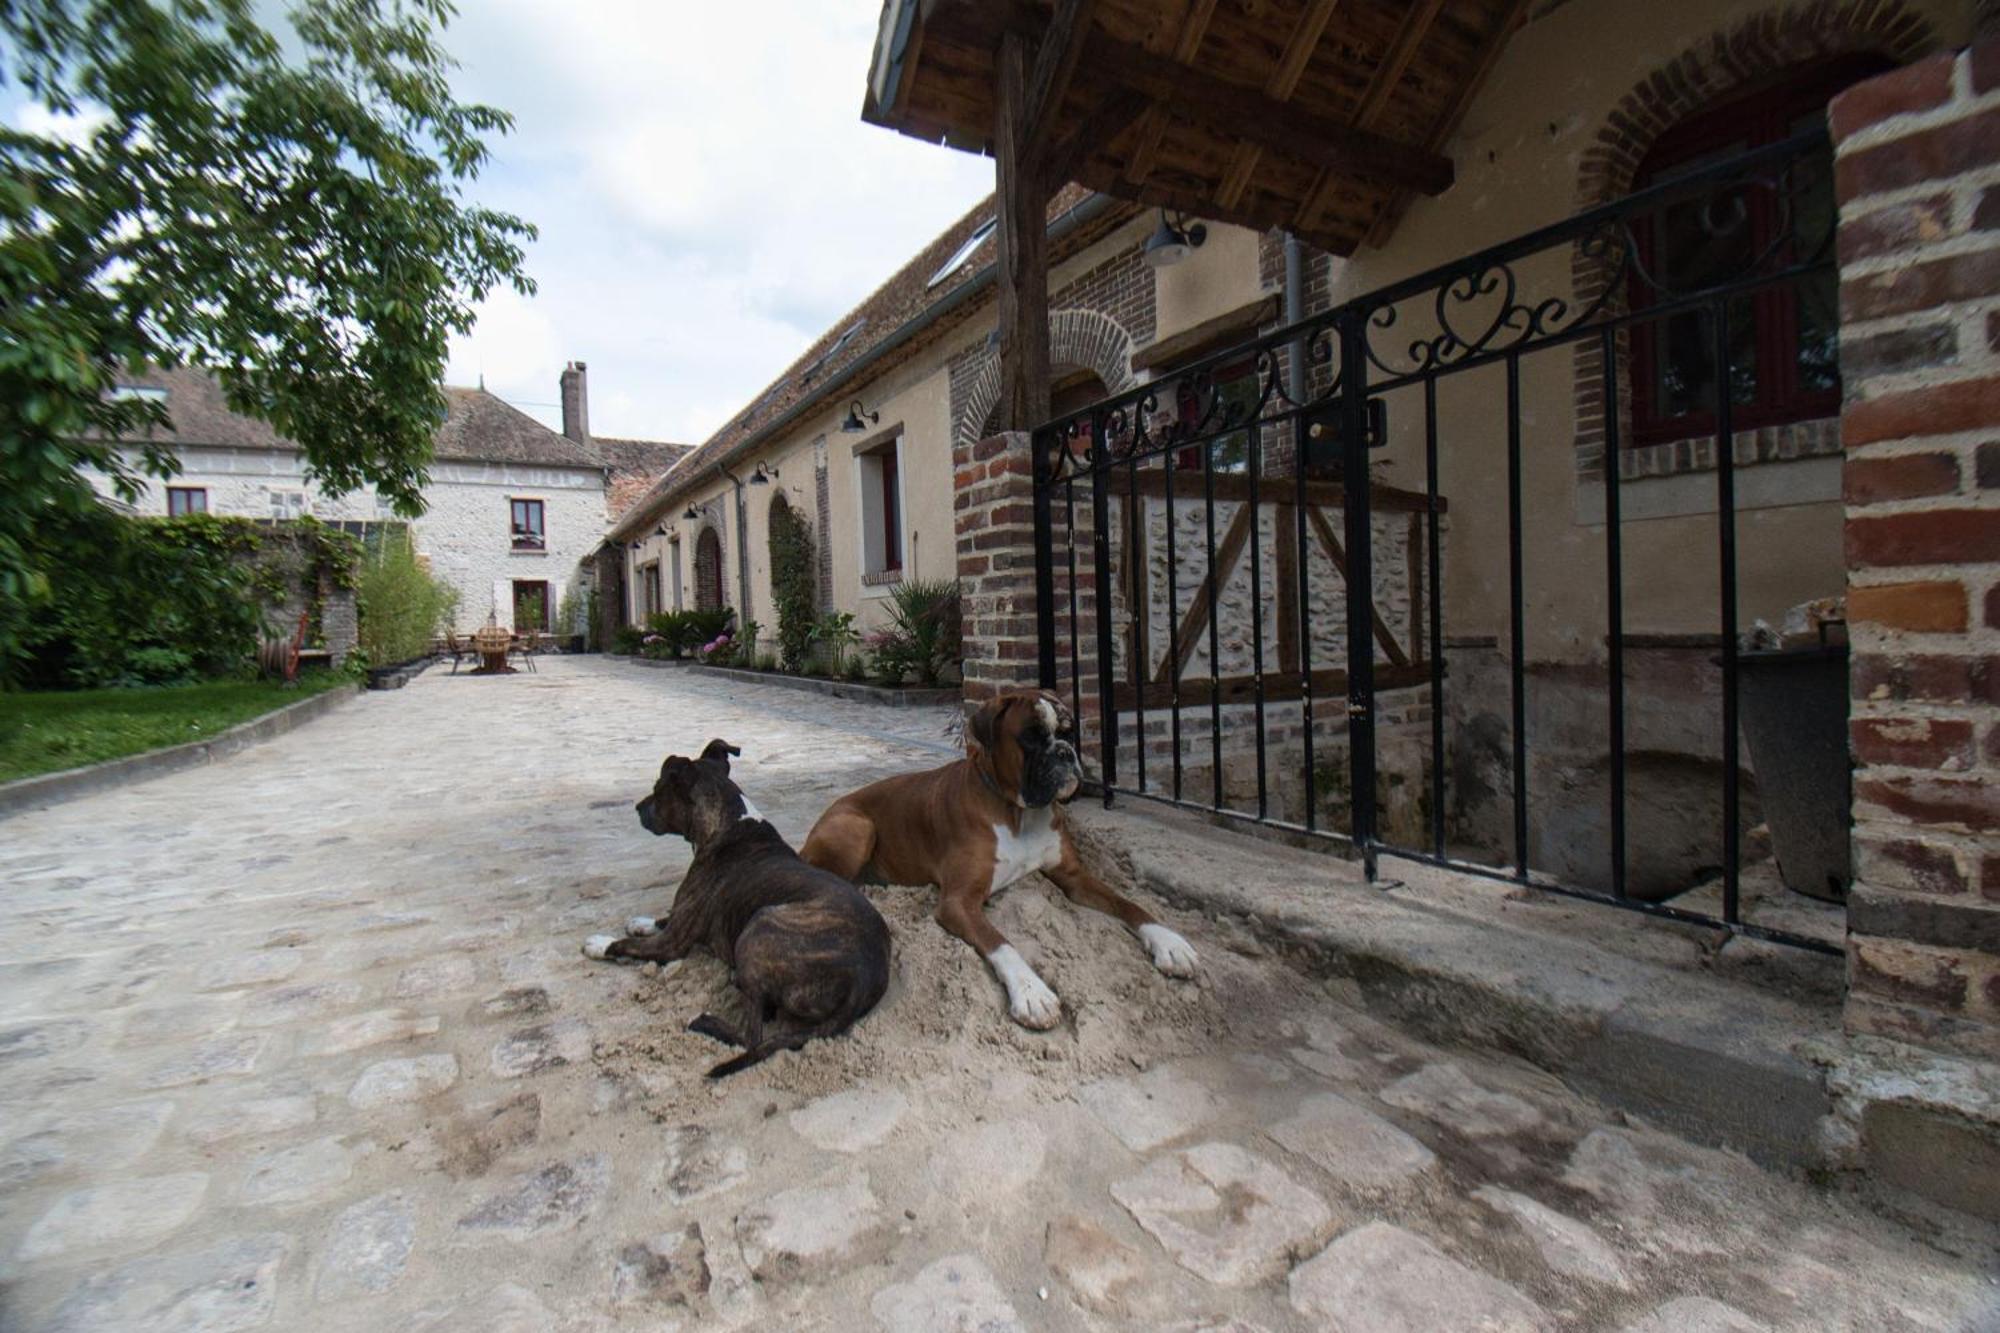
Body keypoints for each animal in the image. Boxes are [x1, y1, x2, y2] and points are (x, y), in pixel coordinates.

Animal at [584, 736, 888, 1080]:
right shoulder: (683, 916)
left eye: (658, 789)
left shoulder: (672, 942)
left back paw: (707, 1019)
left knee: (752, 1036)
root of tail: (862, 980)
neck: (727, 823)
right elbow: (662, 919)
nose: (637, 807)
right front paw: (640, 922)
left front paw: (599, 944)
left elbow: (629, 944)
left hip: (760, 924)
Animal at [800, 684, 1192, 1024]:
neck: (1019, 812)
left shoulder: (1075, 878)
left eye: (1069, 732)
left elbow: (1127, 903)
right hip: (856, 826)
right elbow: (1000, 943)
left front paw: (1169, 942)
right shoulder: (958, 902)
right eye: (1031, 737)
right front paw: (1032, 992)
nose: (1065, 753)